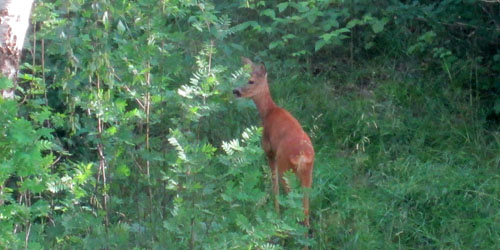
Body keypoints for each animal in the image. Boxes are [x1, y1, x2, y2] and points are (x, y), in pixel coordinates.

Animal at [232, 56, 314, 227]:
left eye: (251, 81)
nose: (235, 91)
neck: (268, 112)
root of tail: (303, 155)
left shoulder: (269, 151)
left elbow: (273, 183)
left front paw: (276, 212)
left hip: (285, 166)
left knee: (292, 198)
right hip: (308, 172)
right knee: (306, 204)